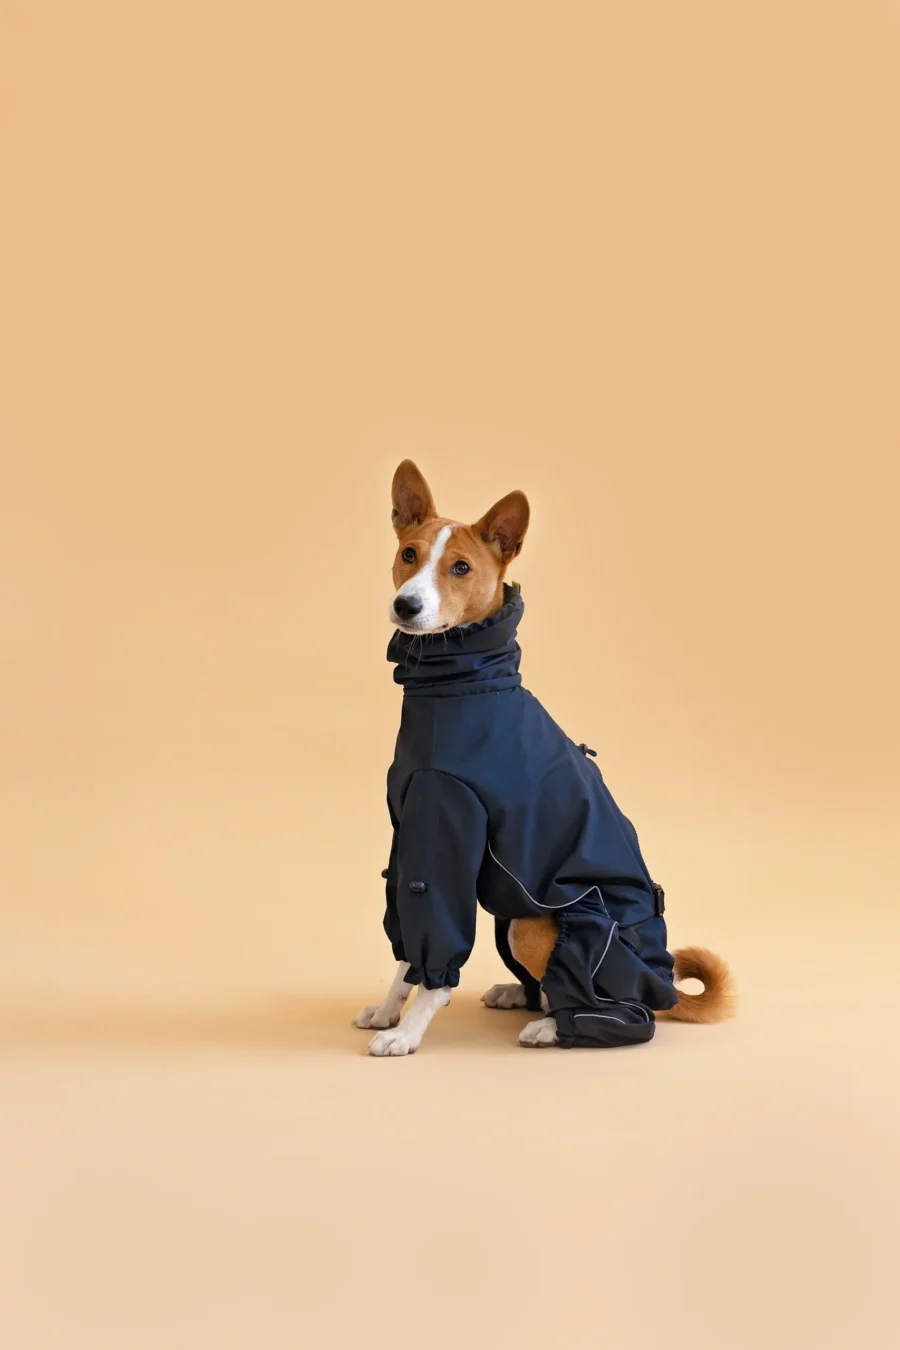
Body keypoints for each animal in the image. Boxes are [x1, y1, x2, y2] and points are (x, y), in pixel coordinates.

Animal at [356, 464, 734, 1053]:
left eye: (461, 567)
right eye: (409, 554)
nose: (406, 606)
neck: (464, 685)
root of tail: (664, 983)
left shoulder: (447, 829)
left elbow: (434, 959)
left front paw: (410, 1031)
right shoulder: (409, 832)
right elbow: (404, 952)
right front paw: (388, 1010)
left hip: (536, 924)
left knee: (626, 1015)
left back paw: (558, 1026)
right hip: (510, 913)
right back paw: (520, 996)